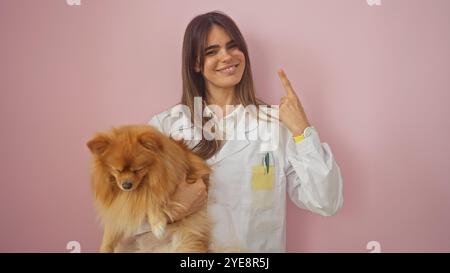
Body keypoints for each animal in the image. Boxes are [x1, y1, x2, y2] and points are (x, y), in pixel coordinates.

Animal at [87, 124, 212, 252]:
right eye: (117, 170)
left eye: (138, 169)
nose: (126, 185)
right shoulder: (117, 207)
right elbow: (111, 230)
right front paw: (105, 248)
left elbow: (152, 199)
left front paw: (157, 224)